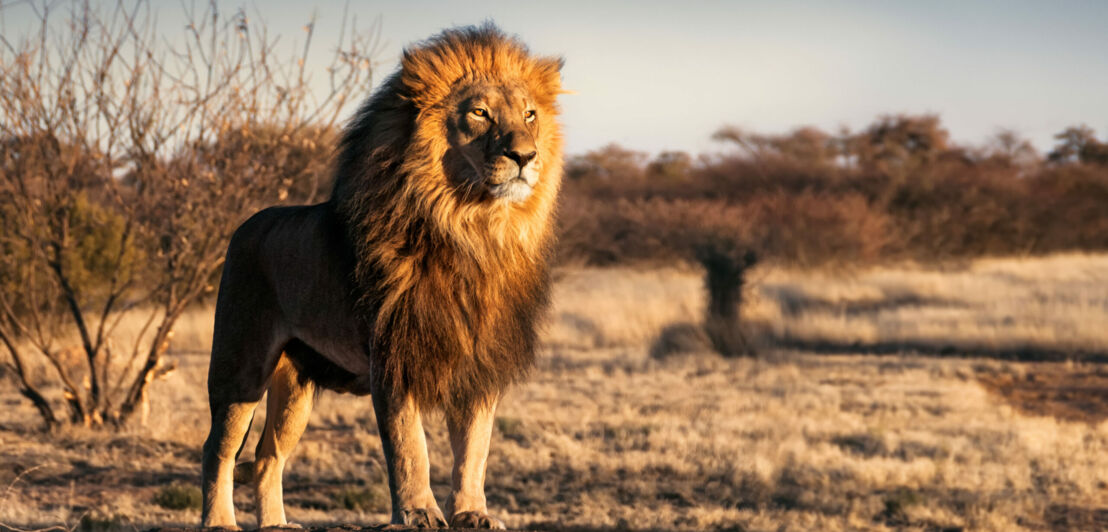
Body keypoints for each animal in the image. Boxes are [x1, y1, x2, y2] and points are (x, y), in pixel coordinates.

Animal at [199, 23, 562, 527]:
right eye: (480, 112)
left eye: (530, 114)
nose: (526, 155)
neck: (472, 230)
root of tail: (246, 224)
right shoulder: (393, 356)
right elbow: (410, 447)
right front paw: (419, 512)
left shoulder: (479, 364)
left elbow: (475, 449)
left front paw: (472, 513)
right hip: (240, 366)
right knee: (218, 448)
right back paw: (219, 521)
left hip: (295, 386)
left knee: (268, 455)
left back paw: (276, 525)